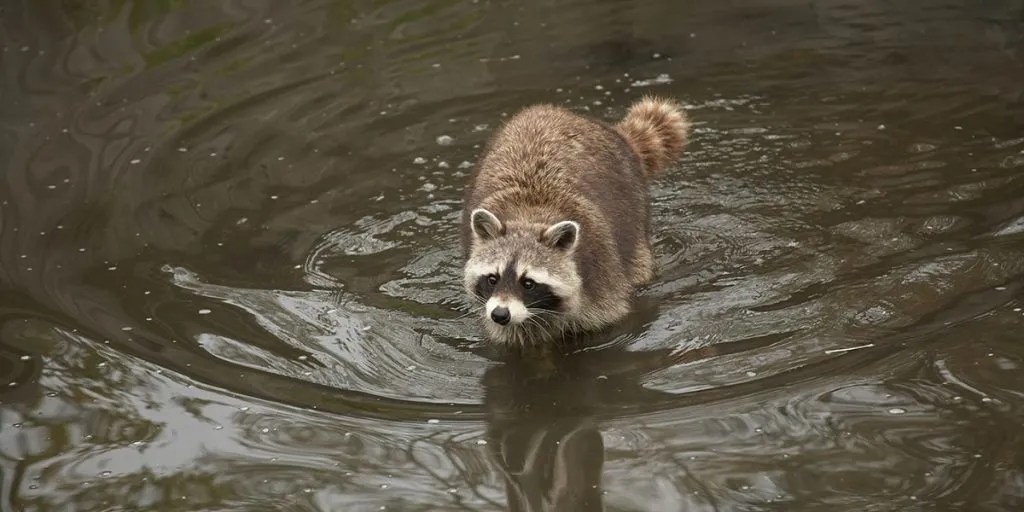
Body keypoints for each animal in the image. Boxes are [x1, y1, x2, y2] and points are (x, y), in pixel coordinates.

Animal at [461, 96, 690, 347]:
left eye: (528, 282)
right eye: (492, 279)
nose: (500, 314)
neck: (529, 216)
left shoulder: (600, 277)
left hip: (634, 215)